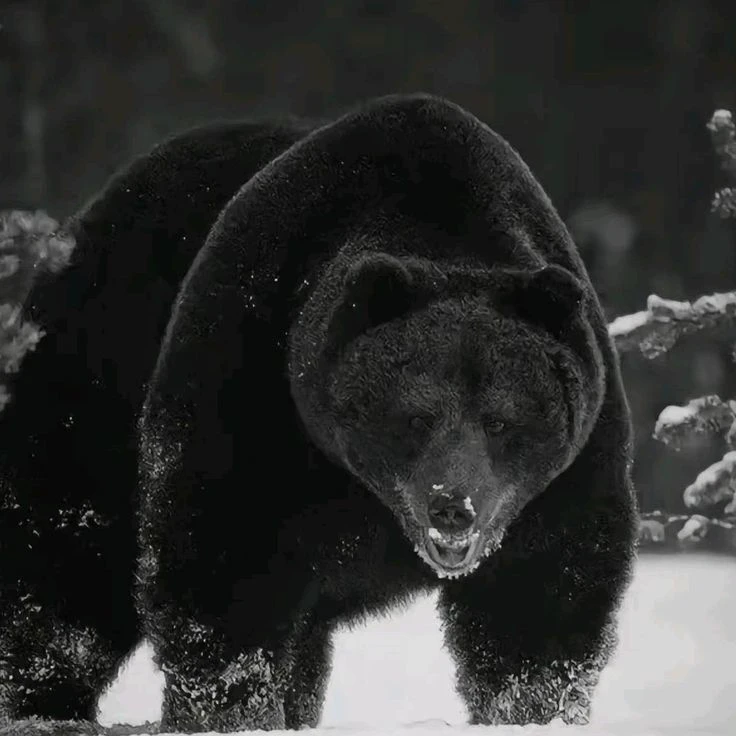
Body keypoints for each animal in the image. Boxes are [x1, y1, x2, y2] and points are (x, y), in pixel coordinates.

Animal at [0, 93, 638, 733]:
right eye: (417, 416)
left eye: (500, 420)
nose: (453, 506)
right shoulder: (253, 369)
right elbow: (220, 553)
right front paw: (233, 708)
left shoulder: (567, 466)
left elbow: (541, 590)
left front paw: (532, 709)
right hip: (99, 357)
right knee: (67, 548)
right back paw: (45, 706)